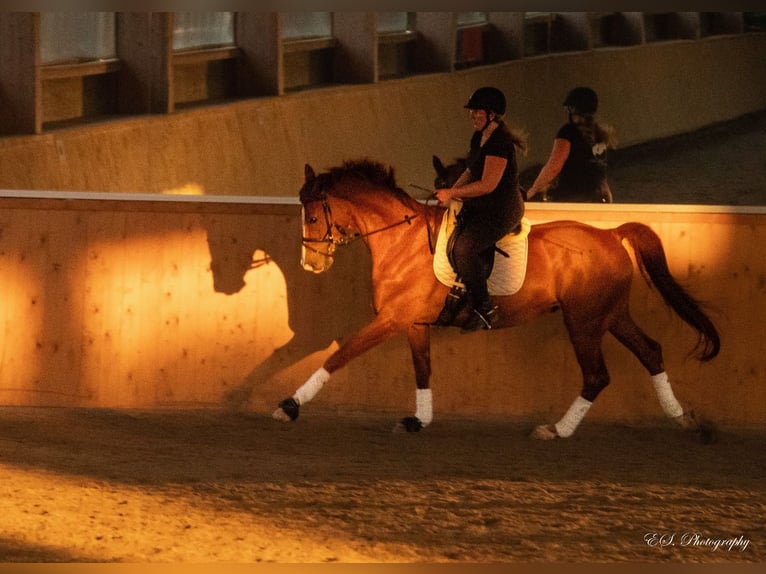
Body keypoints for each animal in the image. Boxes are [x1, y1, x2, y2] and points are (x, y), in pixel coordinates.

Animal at [272, 160, 724, 438]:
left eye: (314, 215)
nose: (311, 264)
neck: (402, 239)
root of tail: (610, 234)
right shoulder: (414, 323)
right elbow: (423, 370)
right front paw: (419, 419)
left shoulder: (392, 318)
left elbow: (339, 355)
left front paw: (290, 405)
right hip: (610, 315)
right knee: (651, 351)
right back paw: (683, 418)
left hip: (584, 321)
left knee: (598, 375)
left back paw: (556, 430)